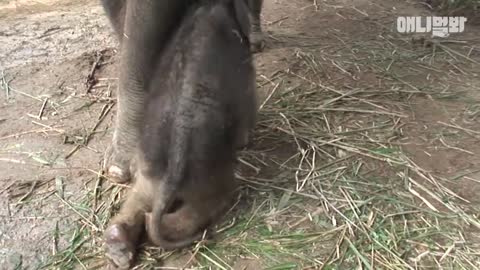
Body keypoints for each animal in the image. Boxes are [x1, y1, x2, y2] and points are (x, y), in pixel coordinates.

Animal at [103, 0, 256, 268]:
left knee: (140, 200)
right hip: (211, 179)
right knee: (202, 206)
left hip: (149, 174)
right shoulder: (245, 75)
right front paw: (246, 140)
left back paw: (118, 247)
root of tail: (171, 173)